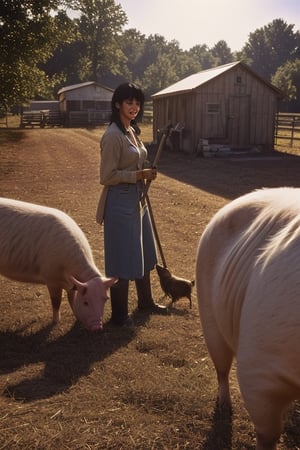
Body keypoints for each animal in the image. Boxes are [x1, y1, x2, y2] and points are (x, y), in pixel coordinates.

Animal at [0, 197, 117, 330]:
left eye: (106, 299)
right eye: (85, 302)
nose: (98, 327)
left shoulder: (70, 284)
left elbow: (71, 298)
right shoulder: (51, 278)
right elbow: (56, 301)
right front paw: (55, 322)